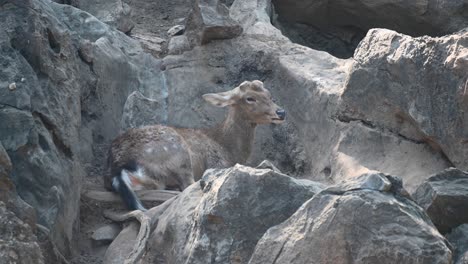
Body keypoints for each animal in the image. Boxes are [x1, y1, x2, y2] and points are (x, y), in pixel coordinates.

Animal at [105, 80, 286, 210]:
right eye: (249, 98)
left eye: (269, 95)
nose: (281, 112)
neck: (228, 149)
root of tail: (118, 167)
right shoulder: (217, 164)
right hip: (178, 153)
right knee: (187, 185)